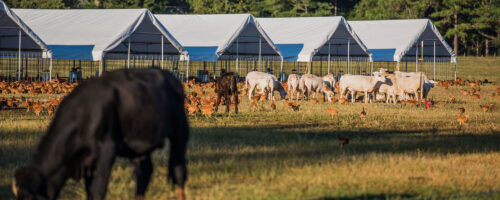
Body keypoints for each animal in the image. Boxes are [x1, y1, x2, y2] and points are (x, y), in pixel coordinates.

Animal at [14, 69, 189, 200]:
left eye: (28, 197)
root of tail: (171, 78)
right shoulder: (86, 161)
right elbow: (90, 191)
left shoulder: (107, 151)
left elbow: (98, 190)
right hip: (139, 147)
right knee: (143, 174)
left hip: (179, 135)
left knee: (179, 172)